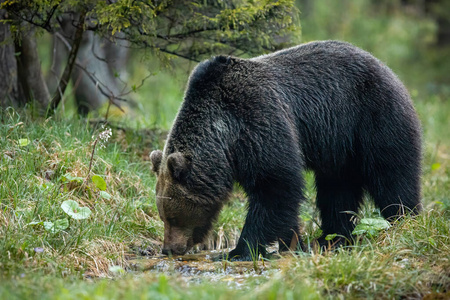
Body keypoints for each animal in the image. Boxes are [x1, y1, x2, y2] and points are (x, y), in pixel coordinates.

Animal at [150, 40, 422, 260]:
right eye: (163, 216)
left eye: (172, 216)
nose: (169, 249)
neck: (224, 137)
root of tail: (386, 68)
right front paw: (293, 243)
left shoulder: (258, 121)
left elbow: (276, 185)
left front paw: (239, 250)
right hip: (339, 148)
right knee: (336, 190)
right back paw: (331, 238)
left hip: (373, 118)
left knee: (392, 176)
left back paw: (404, 222)